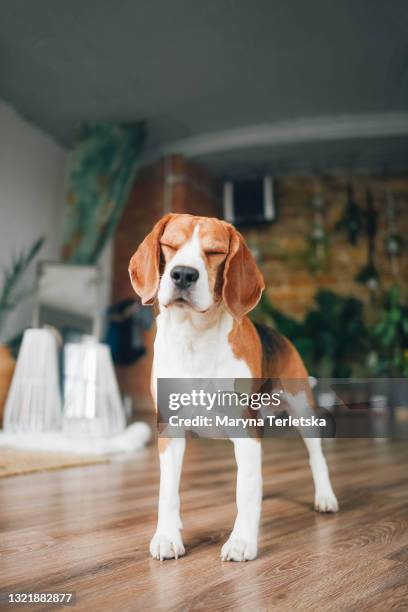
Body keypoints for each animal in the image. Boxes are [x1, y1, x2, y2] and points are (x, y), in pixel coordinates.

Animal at [130, 213, 338, 560]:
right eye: (170, 245)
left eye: (215, 251)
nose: (183, 274)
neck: (194, 338)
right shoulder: (169, 429)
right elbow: (168, 491)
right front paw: (168, 536)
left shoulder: (246, 431)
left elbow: (247, 491)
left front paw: (242, 541)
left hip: (302, 412)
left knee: (316, 457)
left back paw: (325, 497)